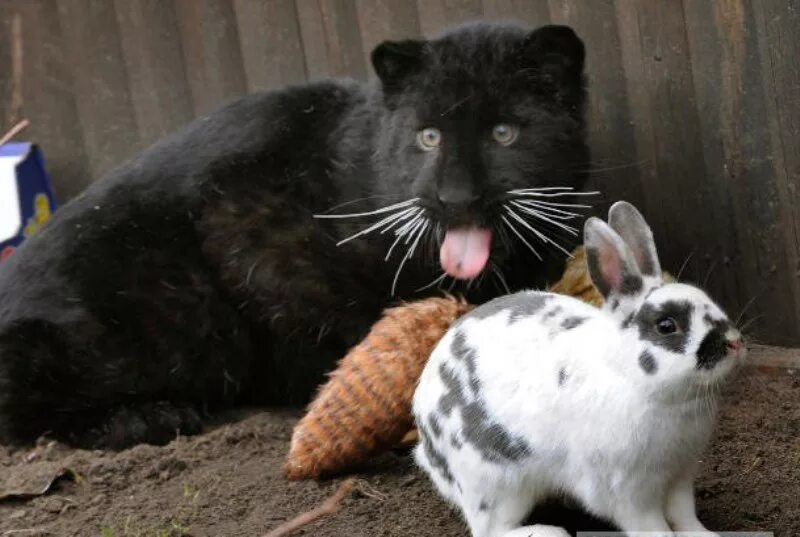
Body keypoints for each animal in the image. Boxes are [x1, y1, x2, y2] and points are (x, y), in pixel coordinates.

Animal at [412, 201, 744, 536]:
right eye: (666, 326)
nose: (734, 343)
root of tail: (429, 445)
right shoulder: (630, 491)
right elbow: (651, 526)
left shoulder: (680, 474)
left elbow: (684, 514)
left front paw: (705, 535)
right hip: (495, 485)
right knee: (491, 530)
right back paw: (548, 531)